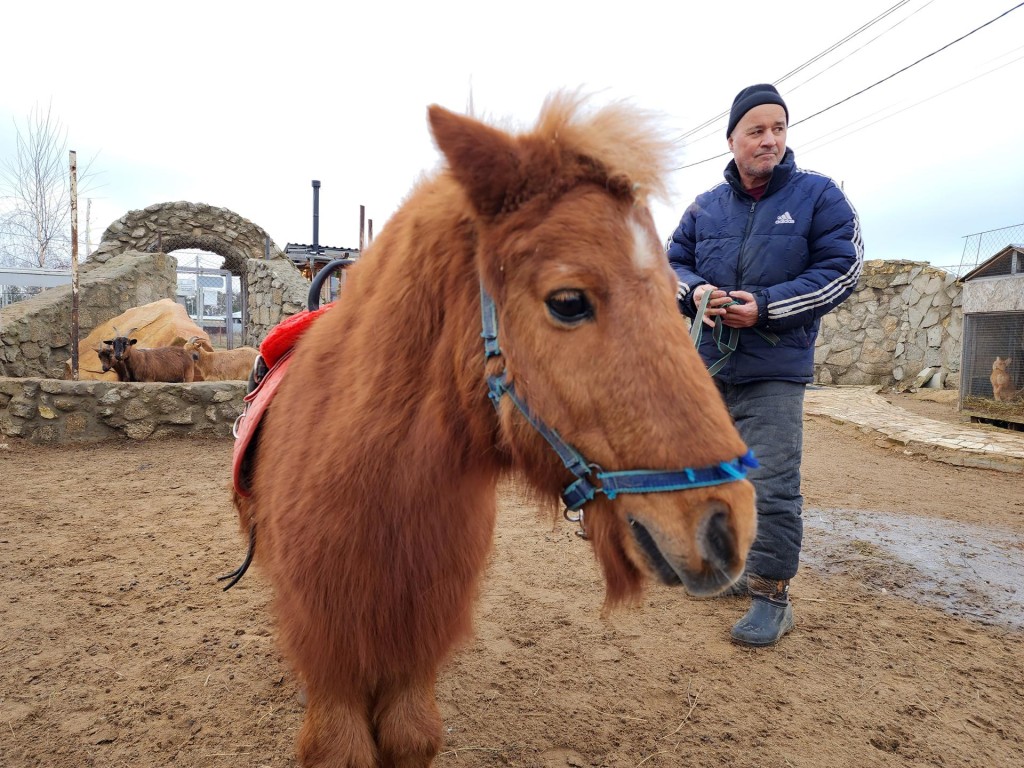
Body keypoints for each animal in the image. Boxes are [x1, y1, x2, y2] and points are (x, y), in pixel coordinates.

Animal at [235, 94, 757, 768]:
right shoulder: (333, 656)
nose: (728, 526)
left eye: (674, 296)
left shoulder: (415, 647)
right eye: (568, 301)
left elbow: (412, 735)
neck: (375, 482)